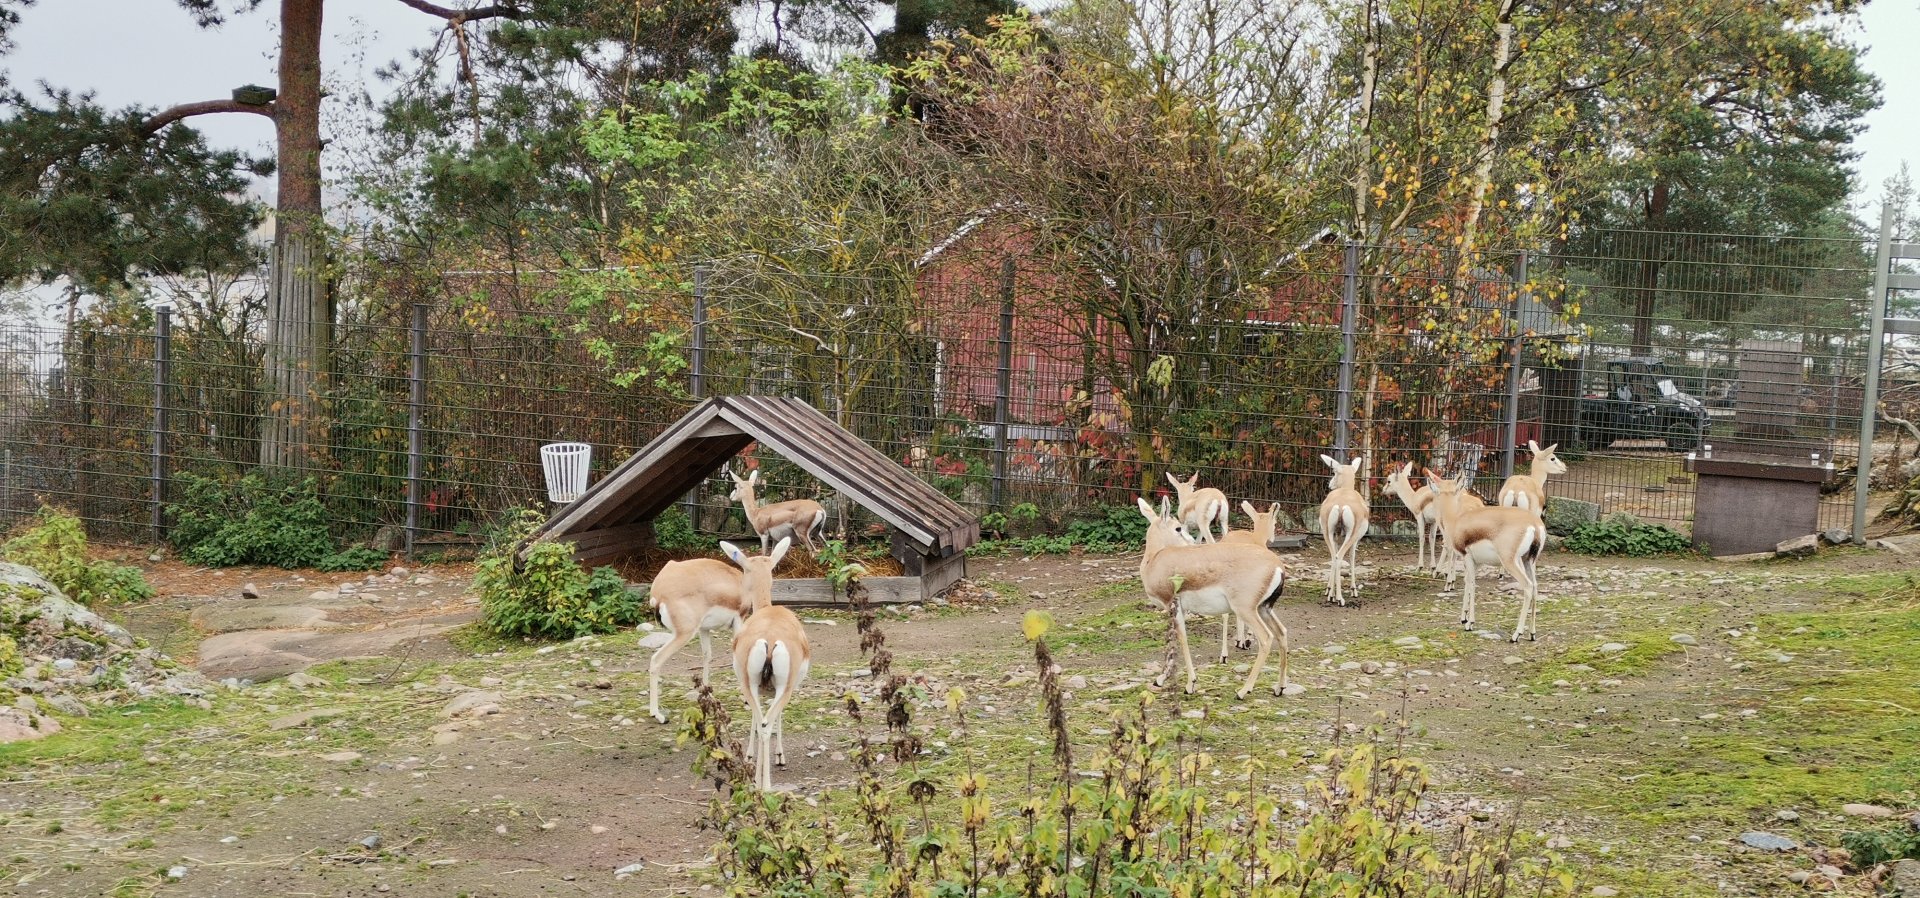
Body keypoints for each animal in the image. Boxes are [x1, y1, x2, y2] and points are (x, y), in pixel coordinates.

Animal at [647, 552, 753, 725]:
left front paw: (707, 694)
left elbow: (707, 656)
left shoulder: (704, 629)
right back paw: (657, 715)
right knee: (656, 660)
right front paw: (746, 699)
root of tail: (658, 594)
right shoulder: (739, 620)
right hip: (684, 634)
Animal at [724, 537, 811, 791]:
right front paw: (779, 756)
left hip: (750, 685)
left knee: (762, 722)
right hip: (782, 687)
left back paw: (758, 783)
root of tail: (770, 640)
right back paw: (766, 785)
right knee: (766, 724)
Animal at [1135, 497, 1291, 698]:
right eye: (1178, 528)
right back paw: (1279, 688)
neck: (1153, 561)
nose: (1192, 542)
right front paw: (1161, 679)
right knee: (1282, 633)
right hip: (1264, 608)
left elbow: (1180, 639)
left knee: (1266, 638)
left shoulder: (1172, 605)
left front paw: (1189, 684)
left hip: (1246, 610)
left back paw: (1243, 691)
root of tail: (1277, 566)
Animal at [1316, 455, 1368, 606]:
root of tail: (1340, 505)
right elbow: (1352, 557)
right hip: (1350, 535)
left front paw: (1329, 591)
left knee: (1333, 557)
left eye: (1334, 472)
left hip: (1327, 533)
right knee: (1339, 557)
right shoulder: (1355, 539)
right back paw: (1340, 599)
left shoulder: (1336, 536)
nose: (1330, 485)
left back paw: (1332, 596)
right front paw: (1353, 590)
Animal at [1428, 471, 1547, 642]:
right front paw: (1463, 617)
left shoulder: (1467, 557)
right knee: (1536, 587)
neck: (1456, 521)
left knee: (1528, 586)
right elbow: (1467, 583)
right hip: (1528, 560)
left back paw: (1516, 634)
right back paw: (1532, 633)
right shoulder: (1475, 563)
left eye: (1435, 493)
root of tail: (1535, 525)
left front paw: (1469, 623)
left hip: (1511, 562)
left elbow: (1471, 584)